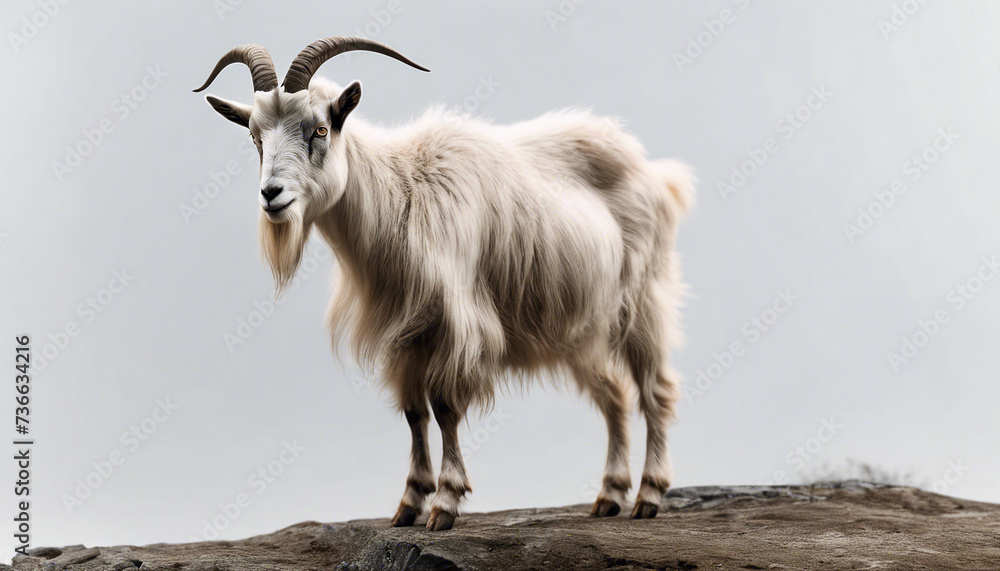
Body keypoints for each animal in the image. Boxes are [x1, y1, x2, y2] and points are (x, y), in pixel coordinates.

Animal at [195, 37, 695, 531]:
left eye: (319, 129)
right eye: (256, 136)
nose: (271, 195)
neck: (400, 195)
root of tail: (657, 177)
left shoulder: (454, 325)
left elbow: (445, 407)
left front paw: (446, 502)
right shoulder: (405, 334)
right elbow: (414, 413)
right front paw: (409, 503)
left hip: (642, 301)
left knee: (654, 390)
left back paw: (648, 494)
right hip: (582, 328)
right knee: (614, 396)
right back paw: (609, 495)